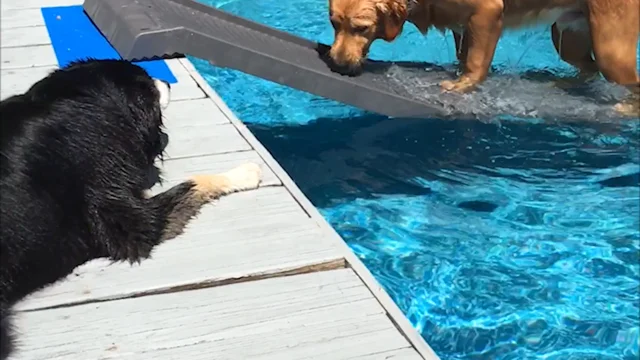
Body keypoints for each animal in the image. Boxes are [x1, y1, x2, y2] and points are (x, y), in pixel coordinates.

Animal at [0, 57, 262, 358]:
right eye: (148, 86)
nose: (168, 81)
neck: (75, 99)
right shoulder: (126, 215)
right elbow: (195, 182)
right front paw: (243, 173)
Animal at [330, 0, 640, 111]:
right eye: (334, 23)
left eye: (361, 28)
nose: (338, 64)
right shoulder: (462, 24)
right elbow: (463, 54)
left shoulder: (487, 13)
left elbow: (476, 61)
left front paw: (461, 86)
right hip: (568, 36)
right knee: (588, 69)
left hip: (609, 48)